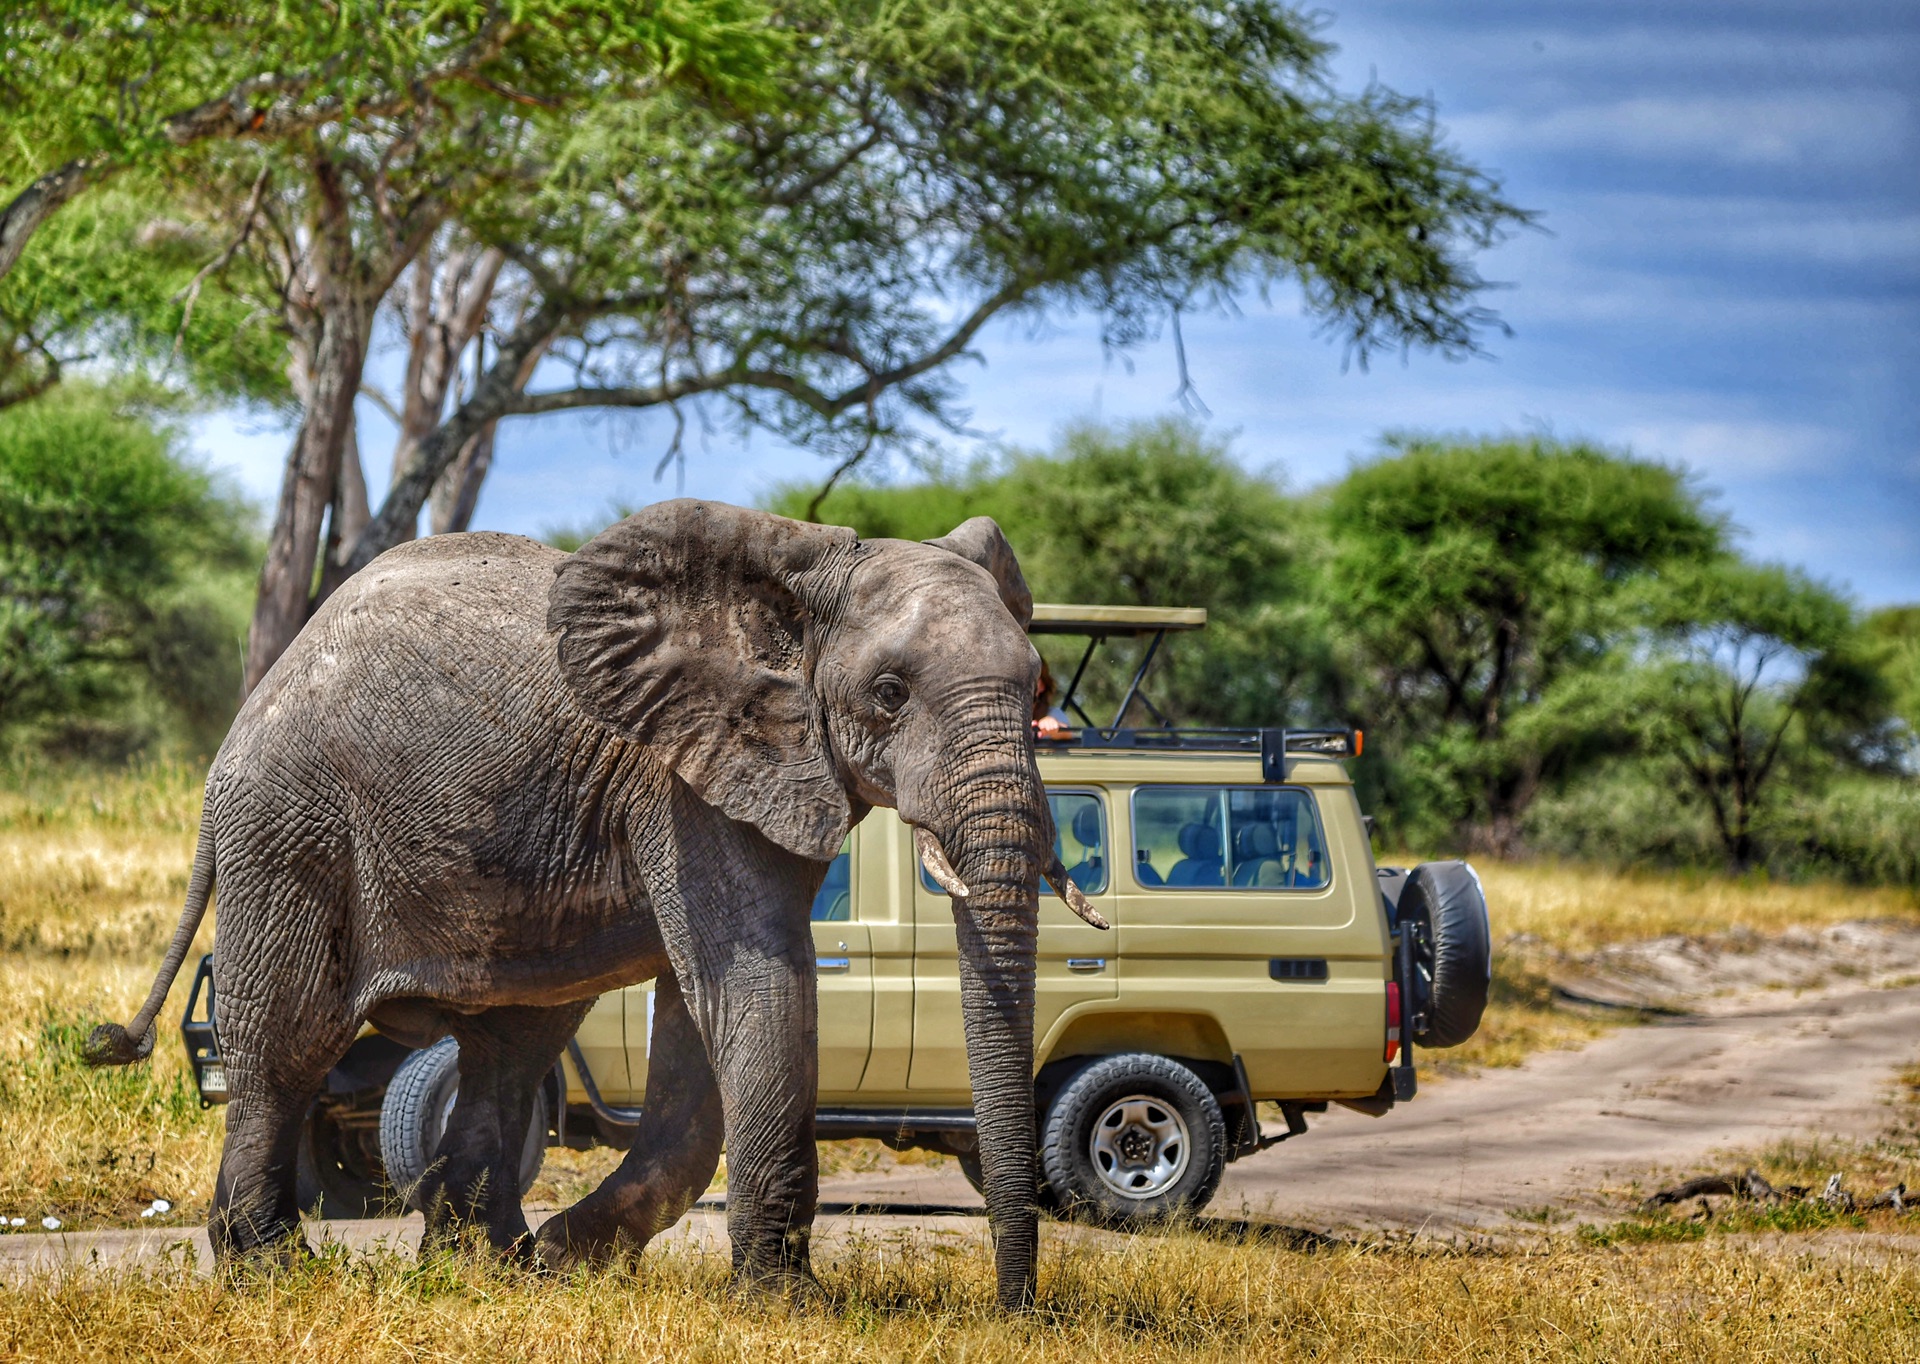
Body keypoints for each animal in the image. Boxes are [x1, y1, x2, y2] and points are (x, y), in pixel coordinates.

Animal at [90, 503, 1105, 1314]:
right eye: (890, 694)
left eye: (1040, 687)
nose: (1016, 1312)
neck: (798, 582)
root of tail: (254, 702)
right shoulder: (686, 775)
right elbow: (755, 983)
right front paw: (792, 1310)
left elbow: (707, 1030)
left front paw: (562, 1262)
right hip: (291, 830)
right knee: (287, 1044)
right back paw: (276, 1272)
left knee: (511, 1045)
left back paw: (483, 1269)